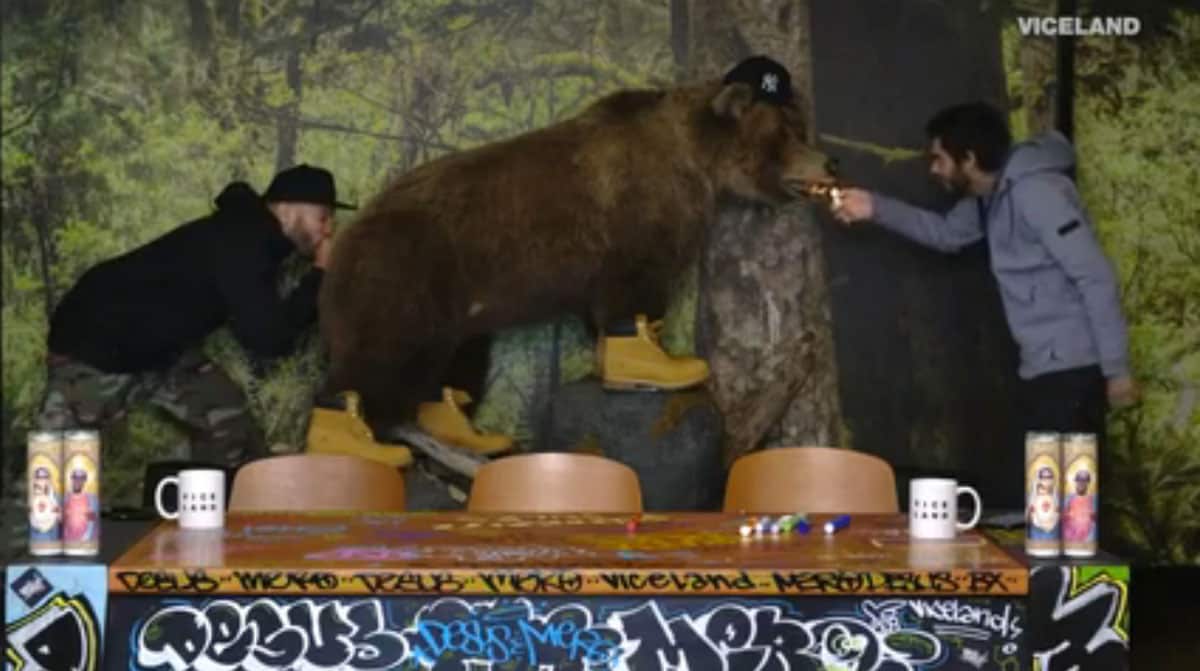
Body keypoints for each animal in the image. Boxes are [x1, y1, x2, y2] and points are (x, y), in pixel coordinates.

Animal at [319, 68, 834, 428]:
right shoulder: (636, 216)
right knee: (382, 356)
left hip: (457, 308)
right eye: (787, 132)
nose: (829, 161)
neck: (697, 159)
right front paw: (663, 362)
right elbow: (637, 290)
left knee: (455, 363)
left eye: (799, 126)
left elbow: (603, 310)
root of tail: (347, 235)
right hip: (408, 271)